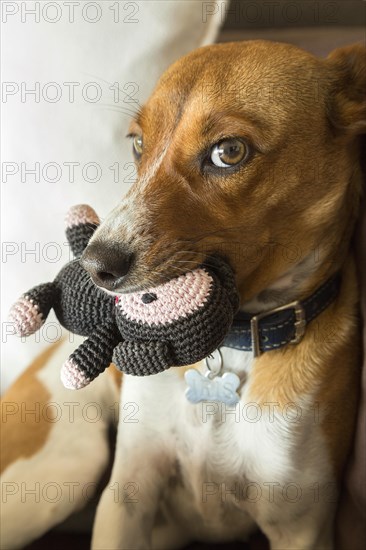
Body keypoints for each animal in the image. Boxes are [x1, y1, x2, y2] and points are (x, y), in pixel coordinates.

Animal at [1, 40, 364, 550]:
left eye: (229, 152)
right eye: (137, 143)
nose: (93, 267)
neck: (232, 346)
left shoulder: (301, 527)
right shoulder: (127, 498)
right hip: (63, 474)